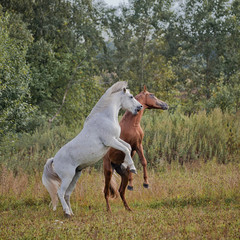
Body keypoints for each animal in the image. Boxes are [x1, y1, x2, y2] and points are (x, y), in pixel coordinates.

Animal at [42, 81, 142, 217]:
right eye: (131, 97)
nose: (140, 107)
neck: (105, 117)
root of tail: (54, 160)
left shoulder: (116, 139)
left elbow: (128, 146)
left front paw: (127, 164)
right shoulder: (110, 141)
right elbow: (126, 149)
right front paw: (132, 168)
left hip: (75, 175)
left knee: (67, 194)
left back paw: (71, 213)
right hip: (67, 177)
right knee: (60, 192)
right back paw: (67, 212)